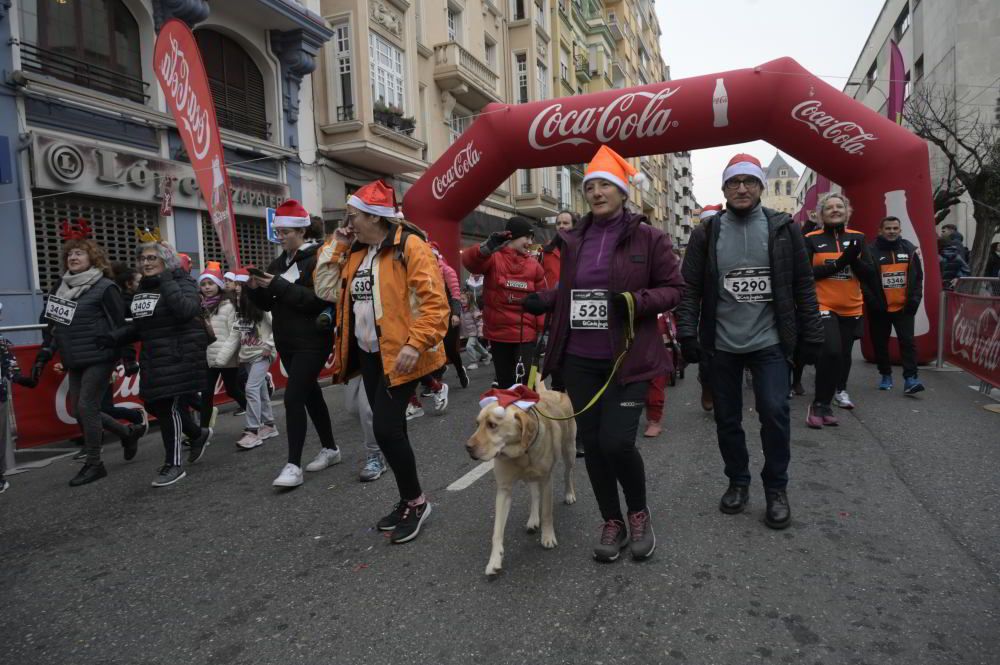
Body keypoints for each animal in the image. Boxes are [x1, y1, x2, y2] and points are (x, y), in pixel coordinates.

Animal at [462, 384, 576, 576]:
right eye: (477, 424)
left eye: (492, 425)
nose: (467, 447)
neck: (520, 453)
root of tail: (551, 391)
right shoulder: (504, 489)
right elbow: (497, 531)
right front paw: (494, 560)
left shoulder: (547, 480)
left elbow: (547, 513)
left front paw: (547, 536)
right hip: (531, 476)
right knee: (534, 493)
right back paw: (533, 519)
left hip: (569, 450)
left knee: (567, 474)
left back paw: (569, 494)